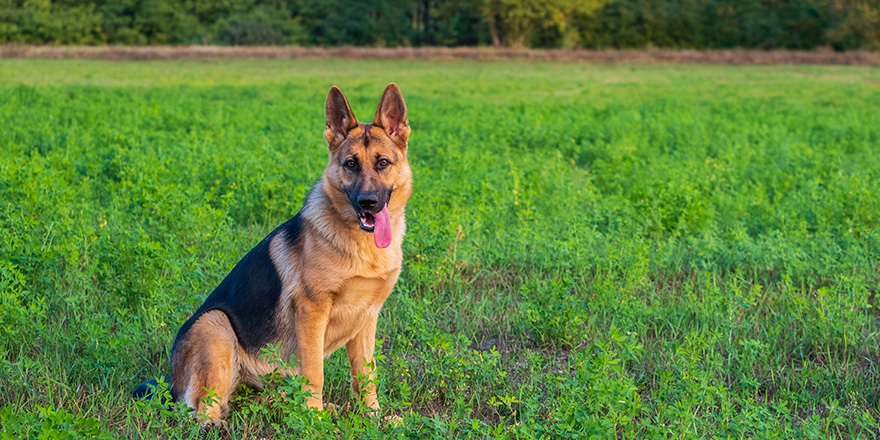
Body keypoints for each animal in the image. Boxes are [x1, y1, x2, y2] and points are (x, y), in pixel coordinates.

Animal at [134, 84, 412, 424]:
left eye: (383, 163)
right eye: (350, 164)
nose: (368, 203)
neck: (360, 243)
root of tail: (171, 382)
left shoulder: (367, 317)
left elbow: (365, 375)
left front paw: (372, 417)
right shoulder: (311, 311)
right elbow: (315, 373)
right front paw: (315, 422)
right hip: (215, 325)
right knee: (201, 409)